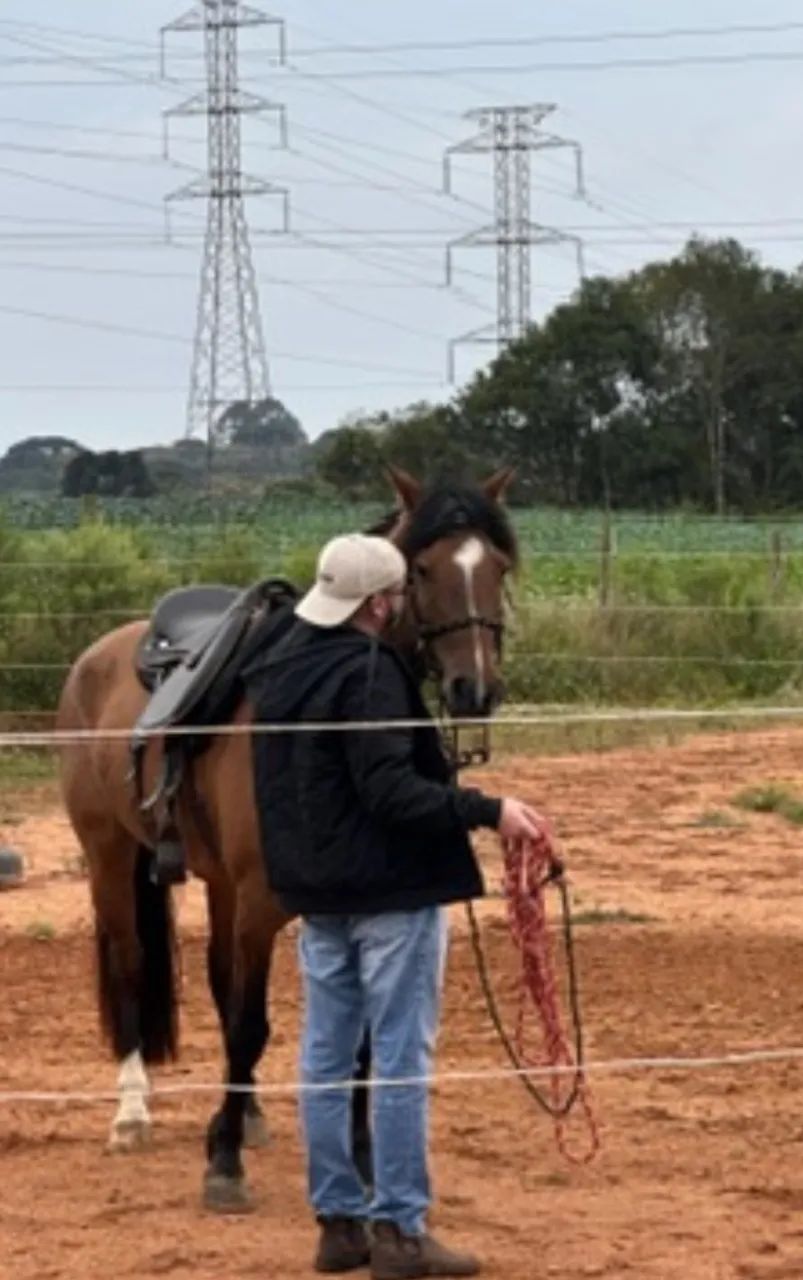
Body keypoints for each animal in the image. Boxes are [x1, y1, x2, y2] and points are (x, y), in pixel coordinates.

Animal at [56, 465, 517, 1213]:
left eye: (498, 566)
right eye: (421, 568)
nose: (472, 687)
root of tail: (96, 656)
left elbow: (356, 1041)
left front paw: (358, 1159)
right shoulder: (259, 905)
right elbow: (251, 1024)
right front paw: (223, 1166)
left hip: (215, 881)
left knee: (218, 979)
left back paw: (246, 1112)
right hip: (110, 857)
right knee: (131, 964)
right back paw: (131, 1113)